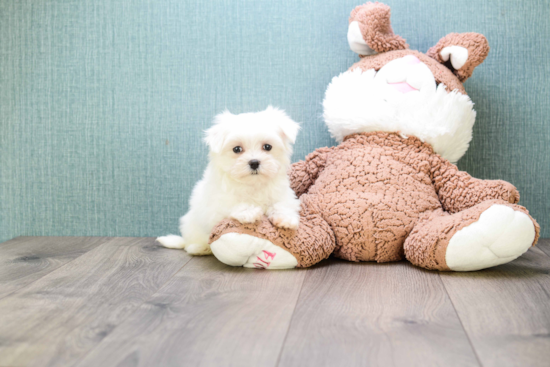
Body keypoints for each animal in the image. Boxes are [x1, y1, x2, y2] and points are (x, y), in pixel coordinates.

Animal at [156, 106, 302, 256]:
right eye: (237, 149)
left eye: (267, 147)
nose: (254, 162)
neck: (252, 184)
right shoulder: (216, 204)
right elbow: (232, 204)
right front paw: (249, 212)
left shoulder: (282, 192)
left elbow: (283, 203)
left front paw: (286, 218)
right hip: (192, 226)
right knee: (192, 245)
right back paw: (199, 248)